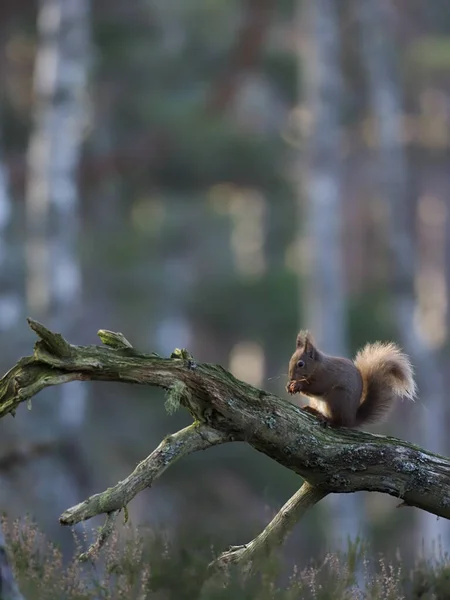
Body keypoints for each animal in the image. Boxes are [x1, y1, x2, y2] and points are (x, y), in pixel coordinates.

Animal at [286, 332, 416, 426]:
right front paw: (289, 385)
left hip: (337, 399)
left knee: (339, 422)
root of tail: (351, 419)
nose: (291, 377)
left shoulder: (326, 376)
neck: (318, 366)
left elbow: (317, 387)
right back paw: (312, 410)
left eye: (301, 364)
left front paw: (297, 385)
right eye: (290, 359)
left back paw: (327, 419)